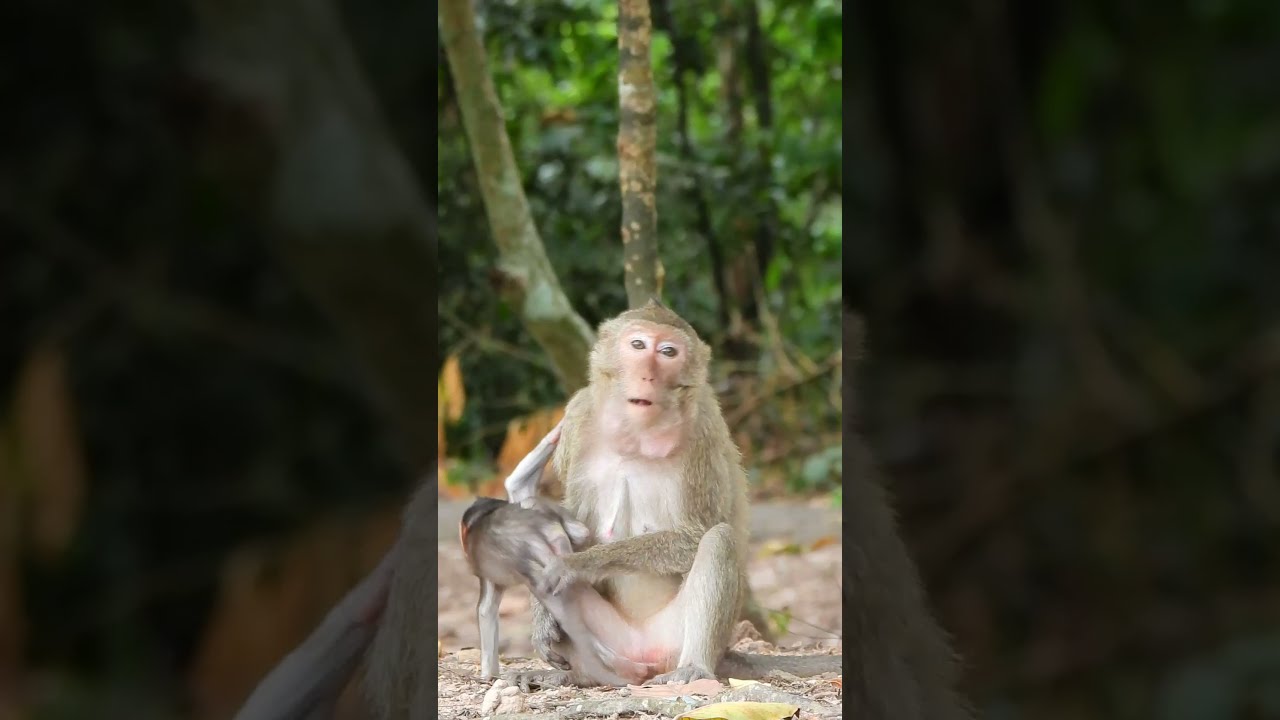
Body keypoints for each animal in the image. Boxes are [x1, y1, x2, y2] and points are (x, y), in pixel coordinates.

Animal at [509, 299, 842, 690]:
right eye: (638, 345)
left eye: (668, 352)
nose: (648, 376)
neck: (637, 434)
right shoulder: (576, 416)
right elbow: (568, 527)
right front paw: (542, 615)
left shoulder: (703, 431)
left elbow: (696, 534)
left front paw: (575, 565)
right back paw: (575, 675)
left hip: (672, 639)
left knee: (718, 540)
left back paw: (693, 668)